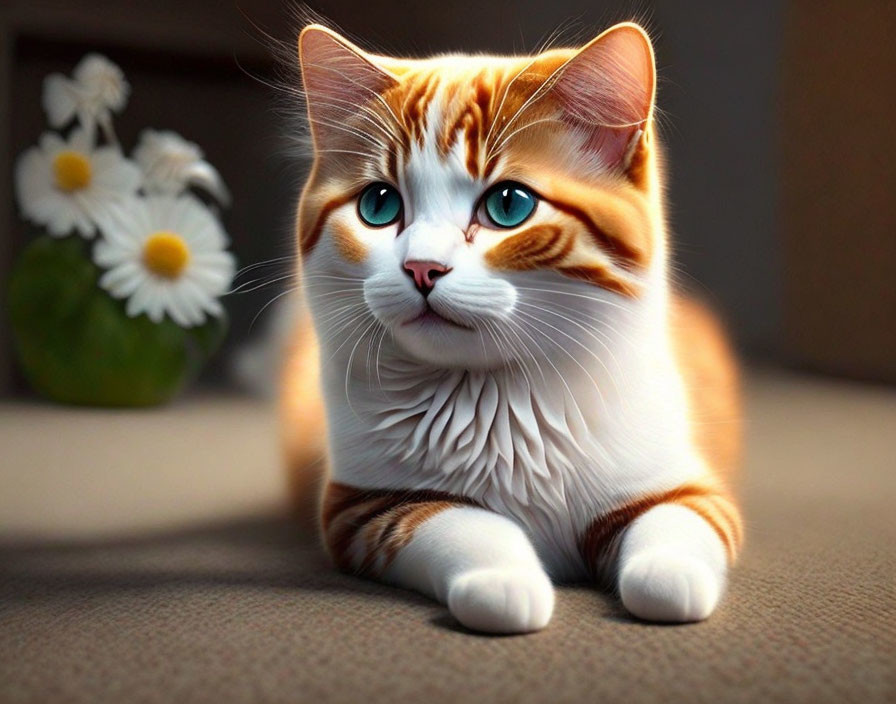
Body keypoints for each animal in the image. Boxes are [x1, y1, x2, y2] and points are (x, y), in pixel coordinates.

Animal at [282, 24, 744, 636]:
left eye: (509, 204)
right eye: (378, 205)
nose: (422, 267)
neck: (496, 401)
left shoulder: (688, 485)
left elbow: (676, 535)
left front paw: (667, 576)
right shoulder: (362, 506)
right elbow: (464, 524)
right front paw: (506, 581)